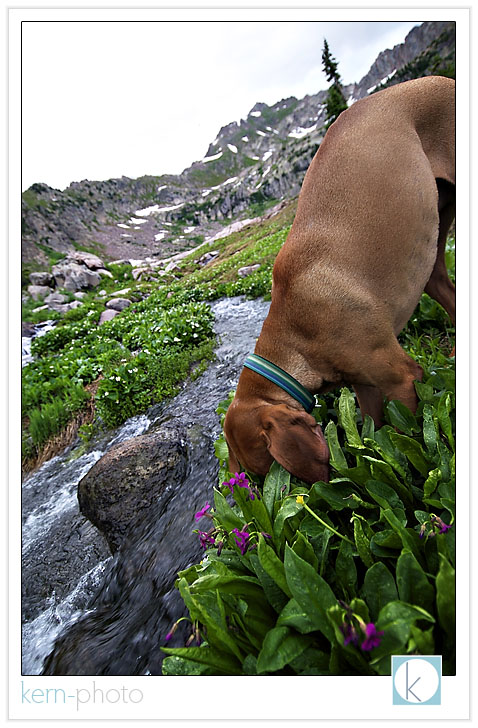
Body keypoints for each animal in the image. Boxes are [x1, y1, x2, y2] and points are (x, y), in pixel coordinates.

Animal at [224, 75, 456, 484]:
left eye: (275, 470)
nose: (316, 489)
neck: (297, 330)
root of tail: (442, 79)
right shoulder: (366, 387)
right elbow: (377, 428)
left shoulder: (401, 378)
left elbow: (405, 431)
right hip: (434, 236)